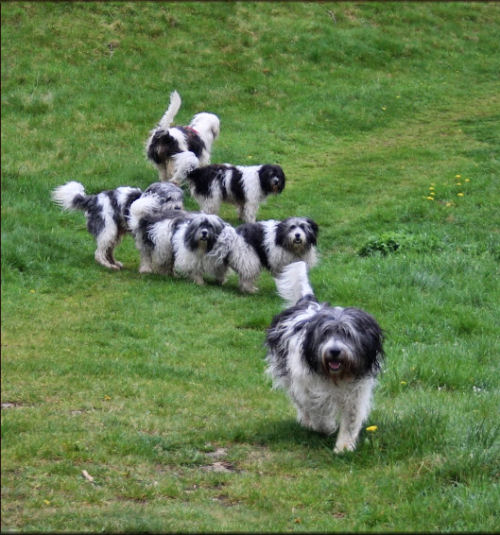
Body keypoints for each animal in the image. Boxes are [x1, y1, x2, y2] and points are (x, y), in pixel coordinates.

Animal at [51, 181, 184, 272]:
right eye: (168, 198)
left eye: (179, 198)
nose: (178, 207)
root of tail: (93, 199)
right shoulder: (141, 236)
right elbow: (146, 254)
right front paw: (146, 269)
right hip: (107, 230)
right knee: (98, 253)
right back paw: (108, 265)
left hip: (115, 233)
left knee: (108, 251)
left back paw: (114, 263)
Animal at [266, 262, 386, 454]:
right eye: (325, 333)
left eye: (347, 334)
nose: (334, 351)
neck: (336, 377)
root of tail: (309, 303)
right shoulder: (309, 388)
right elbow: (318, 411)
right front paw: (326, 427)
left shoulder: (356, 394)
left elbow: (350, 420)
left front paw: (344, 446)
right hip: (288, 376)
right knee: (300, 403)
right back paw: (307, 421)